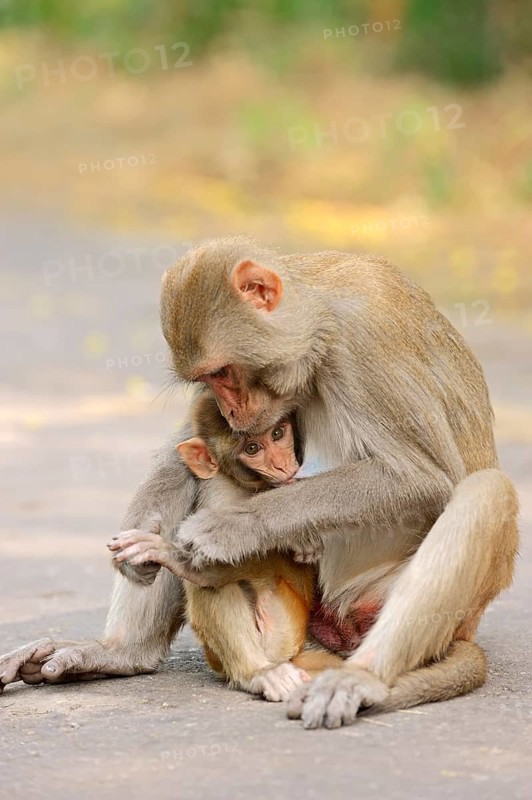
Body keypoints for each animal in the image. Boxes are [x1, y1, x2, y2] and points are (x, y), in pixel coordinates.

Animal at [0, 237, 518, 730]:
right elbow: (190, 444)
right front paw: (141, 531)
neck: (320, 325)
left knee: (486, 492)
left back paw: (362, 676)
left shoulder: (363, 344)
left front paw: (233, 528)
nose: (231, 409)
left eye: (223, 371)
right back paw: (122, 652)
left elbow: (424, 479)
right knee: (199, 479)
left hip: (380, 602)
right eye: (207, 379)